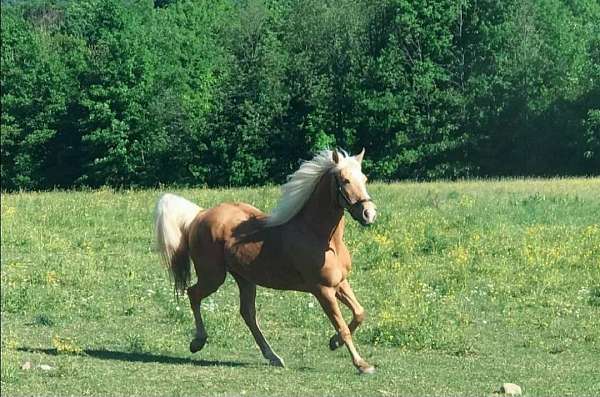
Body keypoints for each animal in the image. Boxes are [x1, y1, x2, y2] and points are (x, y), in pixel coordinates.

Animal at [155, 148, 380, 372]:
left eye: (364, 179)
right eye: (345, 180)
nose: (369, 214)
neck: (318, 235)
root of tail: (199, 215)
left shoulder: (339, 283)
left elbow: (359, 313)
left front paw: (333, 343)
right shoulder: (322, 290)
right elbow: (342, 326)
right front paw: (362, 364)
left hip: (244, 278)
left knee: (247, 314)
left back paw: (273, 356)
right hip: (213, 277)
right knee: (193, 293)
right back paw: (198, 342)